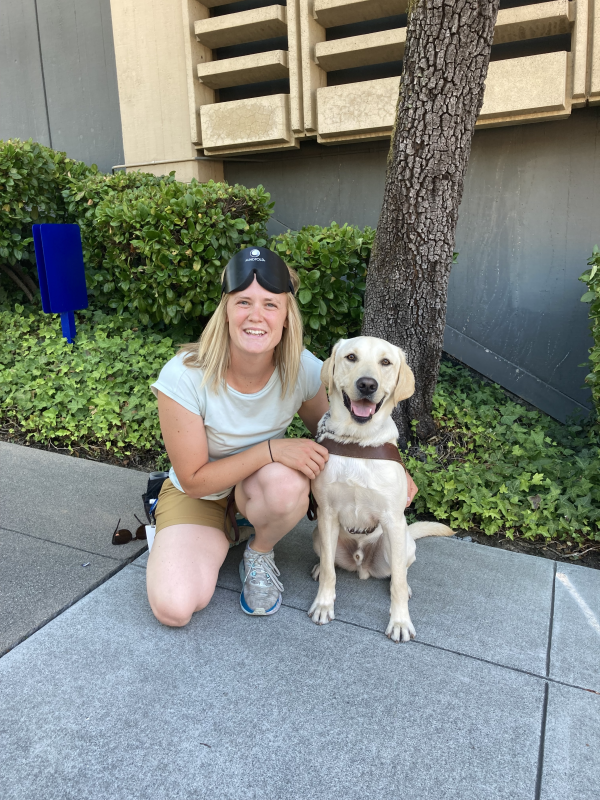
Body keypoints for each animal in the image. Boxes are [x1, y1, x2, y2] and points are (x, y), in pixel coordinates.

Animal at [310, 338, 454, 644]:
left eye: (385, 362)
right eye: (351, 357)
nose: (367, 384)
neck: (358, 441)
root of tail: (361, 565)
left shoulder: (393, 519)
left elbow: (397, 581)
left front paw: (400, 621)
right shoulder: (326, 514)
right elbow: (329, 570)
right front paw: (324, 604)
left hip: (400, 543)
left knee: (399, 572)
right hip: (318, 534)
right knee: (328, 561)